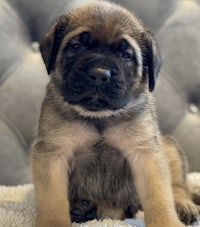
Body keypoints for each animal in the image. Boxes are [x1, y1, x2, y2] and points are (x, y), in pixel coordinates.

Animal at [32, 1, 199, 227]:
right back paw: (86, 209)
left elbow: (159, 197)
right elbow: (52, 200)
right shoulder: (52, 154)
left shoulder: (146, 154)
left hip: (170, 149)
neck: (100, 118)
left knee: (177, 188)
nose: (99, 74)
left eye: (125, 55)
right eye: (77, 46)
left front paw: (166, 221)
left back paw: (183, 205)